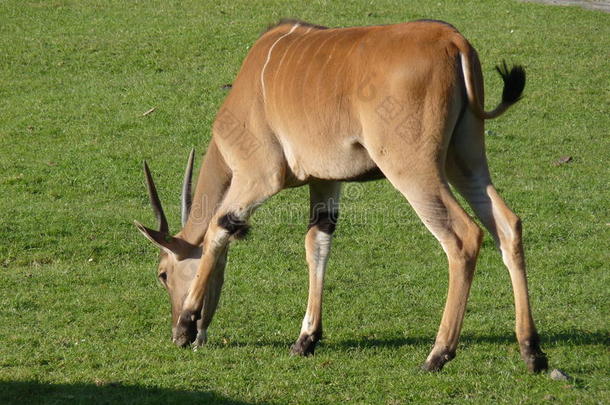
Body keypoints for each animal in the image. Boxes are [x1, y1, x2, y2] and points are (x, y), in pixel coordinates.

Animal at [134, 19, 548, 372]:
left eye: (163, 274)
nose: (188, 330)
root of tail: (454, 41)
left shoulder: (258, 177)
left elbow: (219, 228)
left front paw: (186, 325)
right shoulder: (325, 182)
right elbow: (317, 243)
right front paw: (306, 339)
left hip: (414, 168)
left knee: (463, 237)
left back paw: (438, 354)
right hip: (465, 162)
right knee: (507, 226)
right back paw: (533, 352)